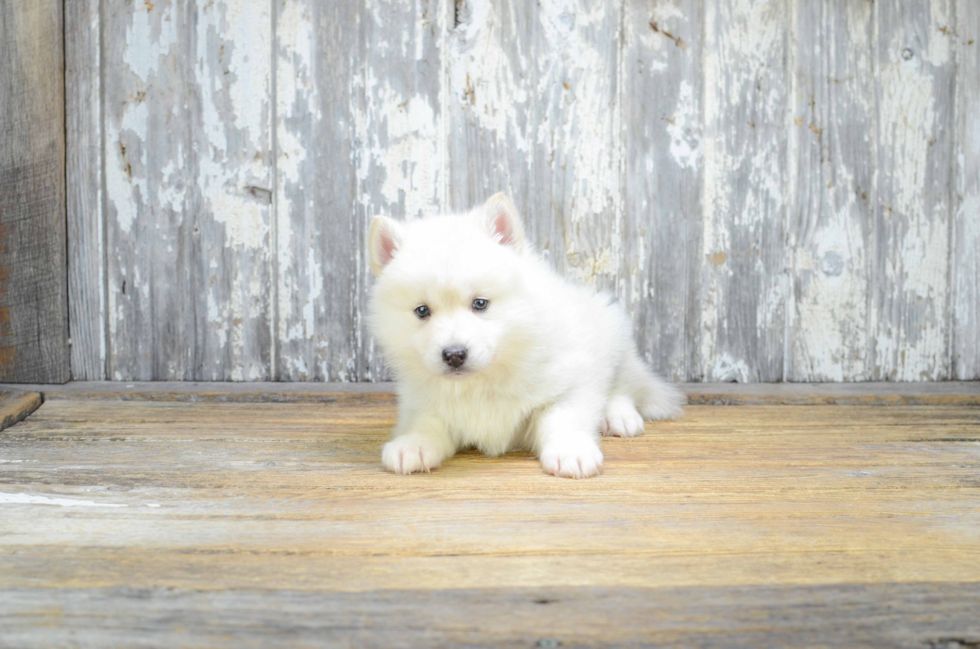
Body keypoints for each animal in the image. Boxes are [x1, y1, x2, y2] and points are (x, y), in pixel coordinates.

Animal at [370, 192, 688, 476]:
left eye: (480, 304)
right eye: (422, 311)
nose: (454, 355)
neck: (482, 382)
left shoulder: (569, 383)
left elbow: (561, 418)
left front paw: (570, 451)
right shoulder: (420, 400)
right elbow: (425, 423)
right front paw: (411, 445)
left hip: (612, 334)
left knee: (625, 386)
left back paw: (619, 416)